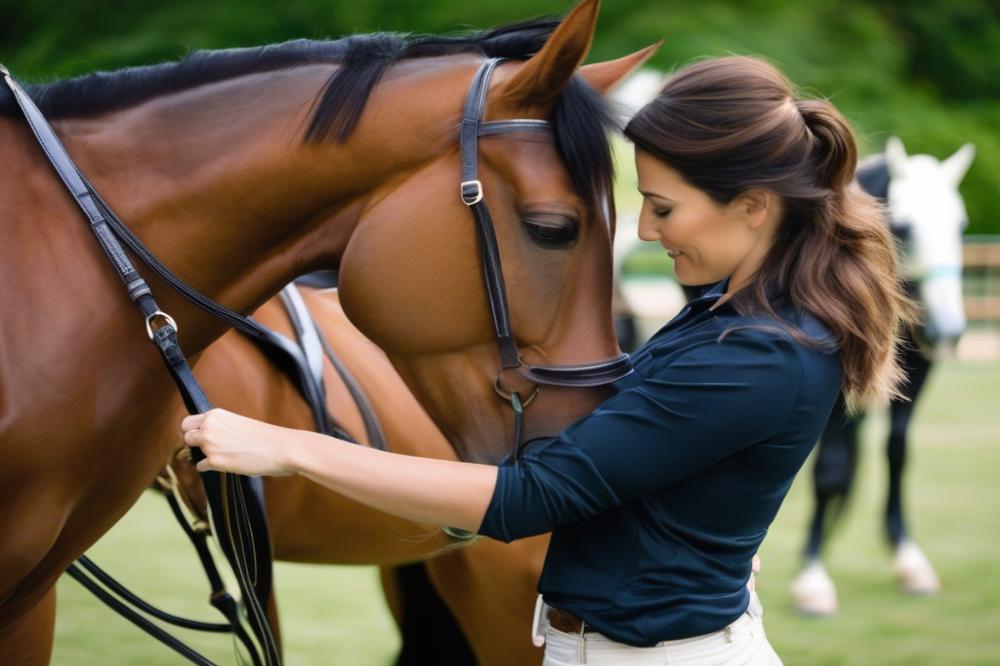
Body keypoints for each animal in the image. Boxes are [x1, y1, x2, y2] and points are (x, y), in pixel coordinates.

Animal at [788, 135, 976, 612]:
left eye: (961, 225)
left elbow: (897, 452)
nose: (947, 331)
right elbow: (831, 468)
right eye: (905, 228)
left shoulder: (916, 373)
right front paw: (812, 577)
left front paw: (908, 559)